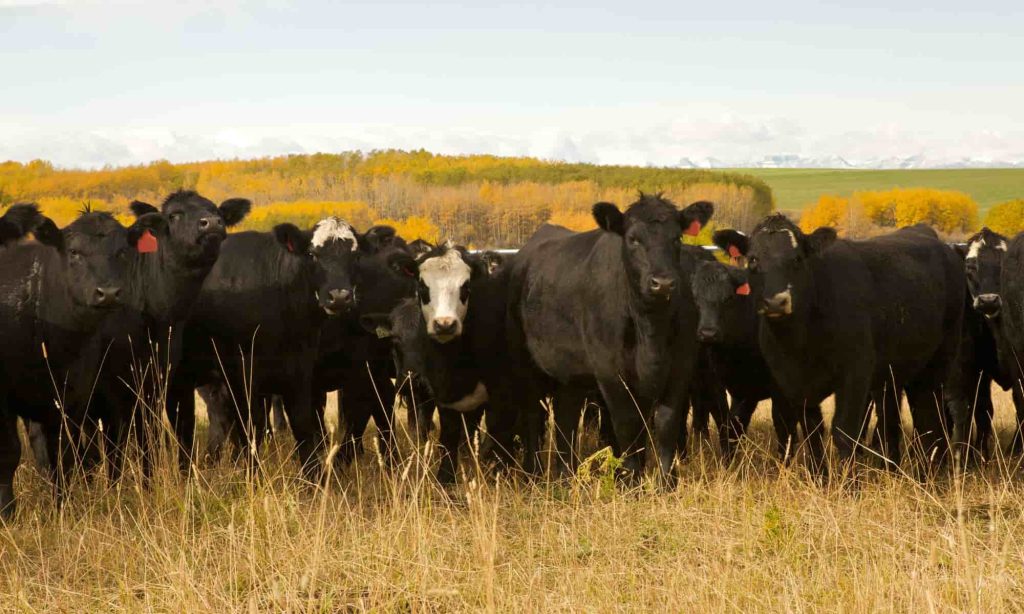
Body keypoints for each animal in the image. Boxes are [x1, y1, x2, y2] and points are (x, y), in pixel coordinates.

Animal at [0, 209, 165, 516]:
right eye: (74, 251)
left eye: (122, 251)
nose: (108, 292)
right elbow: (9, 453)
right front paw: (7, 513)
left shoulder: (72, 398)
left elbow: (65, 455)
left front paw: (64, 507)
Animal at [503, 195, 713, 484]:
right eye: (633, 239)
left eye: (677, 238)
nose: (663, 283)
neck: (650, 332)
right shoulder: (611, 374)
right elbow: (627, 425)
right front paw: (630, 479)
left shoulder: (679, 369)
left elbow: (666, 424)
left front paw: (666, 482)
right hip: (525, 364)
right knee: (534, 417)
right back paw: (532, 473)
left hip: (570, 375)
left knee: (566, 418)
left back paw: (565, 475)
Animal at [723, 215, 965, 473]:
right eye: (753, 260)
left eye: (797, 259)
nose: (776, 302)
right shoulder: (793, 383)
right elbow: (812, 432)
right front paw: (819, 477)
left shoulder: (855, 375)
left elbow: (845, 433)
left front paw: (849, 482)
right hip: (895, 375)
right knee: (896, 421)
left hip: (938, 364)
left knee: (931, 419)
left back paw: (930, 474)